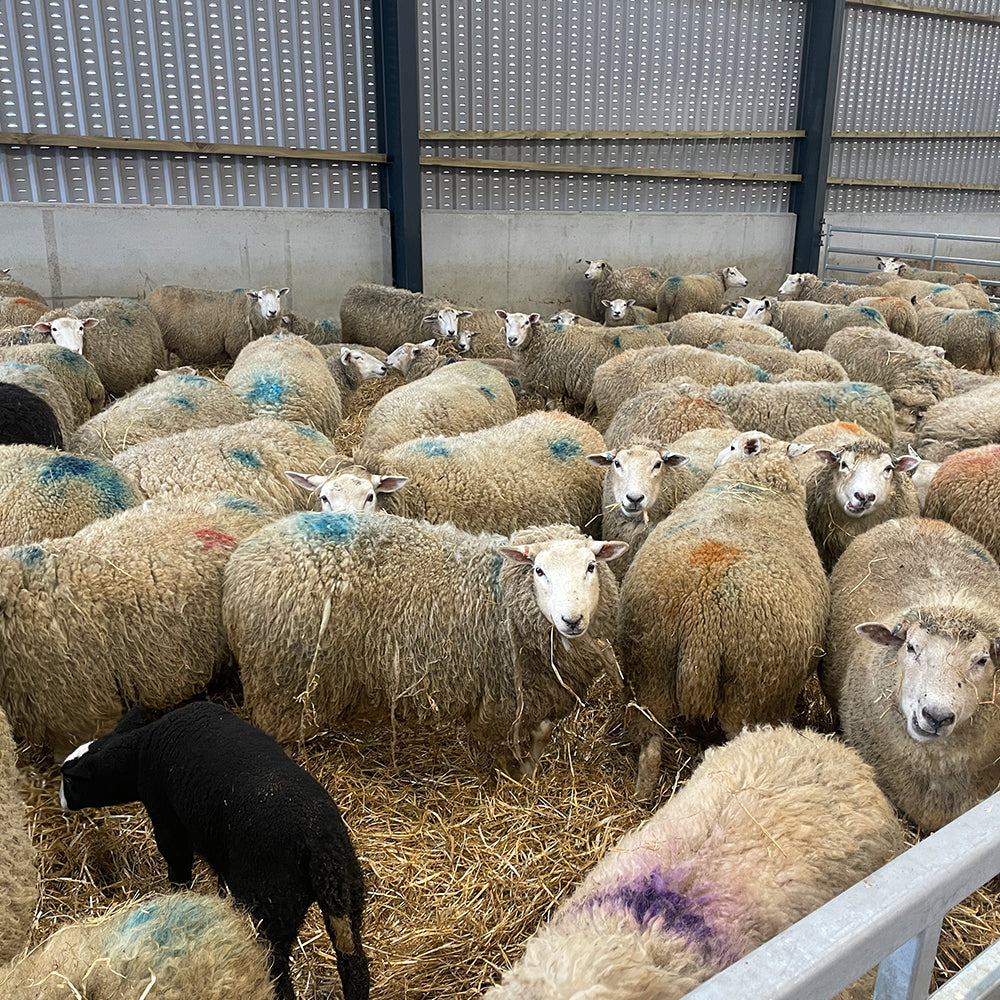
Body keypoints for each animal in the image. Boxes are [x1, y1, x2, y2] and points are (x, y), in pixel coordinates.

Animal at [60, 701, 370, 1000]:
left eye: (69, 781)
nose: (60, 801)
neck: (137, 755)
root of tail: (319, 842)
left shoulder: (167, 820)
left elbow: (178, 865)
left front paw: (178, 897)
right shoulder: (222, 851)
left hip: (270, 903)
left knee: (276, 970)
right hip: (346, 894)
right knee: (354, 963)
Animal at [147, 284, 289, 366]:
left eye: (278, 296)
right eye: (259, 297)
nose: (272, 312)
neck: (248, 309)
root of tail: (150, 296)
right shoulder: (236, 344)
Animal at [226, 515, 625, 771]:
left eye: (591, 567)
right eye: (539, 571)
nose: (572, 620)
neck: (500, 593)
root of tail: (242, 559)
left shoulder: (538, 690)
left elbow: (542, 733)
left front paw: (531, 772)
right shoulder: (502, 698)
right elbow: (502, 745)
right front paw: (511, 776)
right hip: (282, 682)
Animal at [617, 431, 828, 799]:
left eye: (731, 447)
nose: (718, 458)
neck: (754, 483)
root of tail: (702, 617)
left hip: (650, 673)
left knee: (651, 743)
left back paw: (642, 797)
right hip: (752, 695)